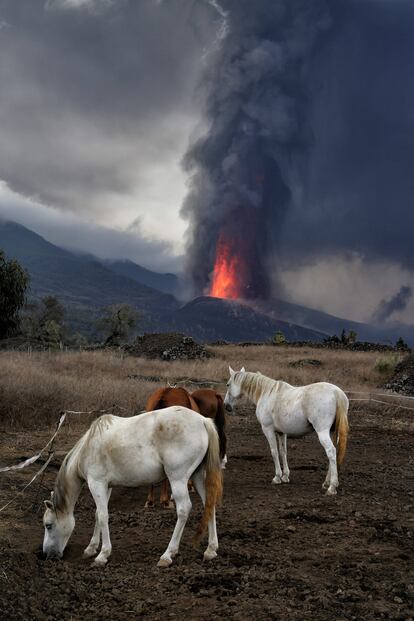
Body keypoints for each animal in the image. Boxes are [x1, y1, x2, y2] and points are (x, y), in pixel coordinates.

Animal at [42, 406, 223, 568]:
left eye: (48, 525)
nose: (47, 555)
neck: (88, 448)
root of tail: (203, 420)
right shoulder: (106, 486)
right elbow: (97, 514)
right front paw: (91, 548)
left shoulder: (96, 483)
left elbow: (103, 515)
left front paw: (102, 555)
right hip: (197, 476)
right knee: (209, 504)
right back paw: (211, 549)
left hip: (177, 478)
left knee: (184, 509)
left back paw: (167, 554)